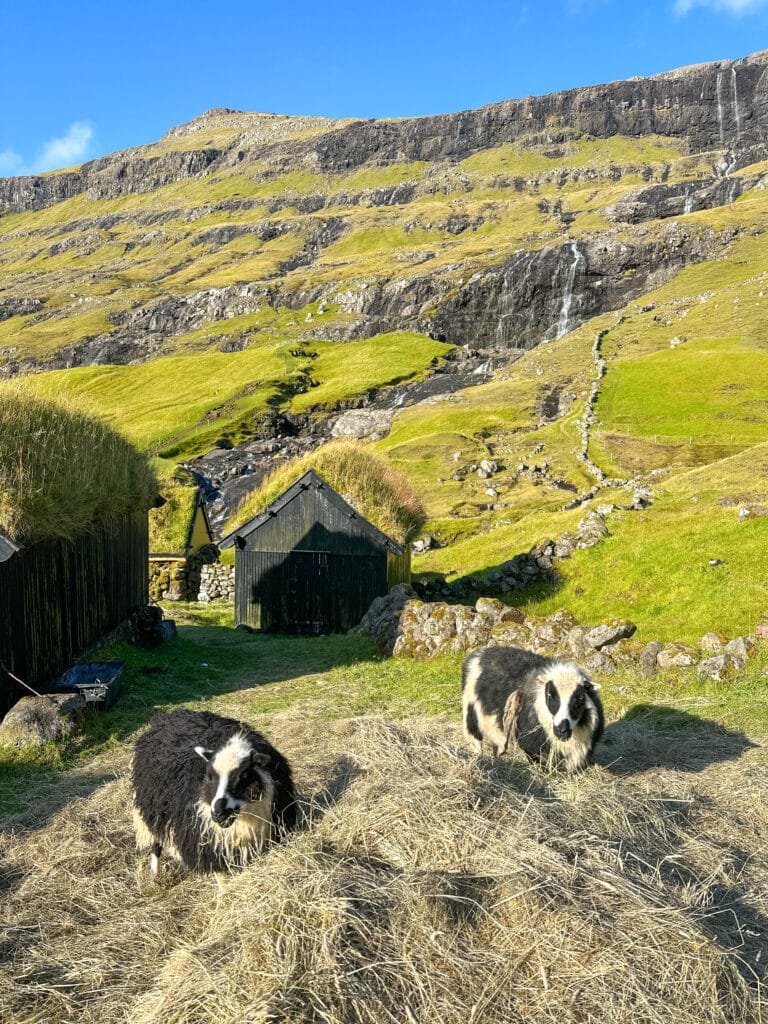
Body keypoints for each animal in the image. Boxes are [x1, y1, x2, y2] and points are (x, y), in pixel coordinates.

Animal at [129, 712, 296, 872]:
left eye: (244, 775)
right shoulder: (206, 843)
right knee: (156, 839)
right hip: (152, 807)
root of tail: (166, 717)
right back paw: (154, 872)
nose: (218, 814)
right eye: (209, 776)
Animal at [460, 643, 606, 770]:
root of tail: (480, 653)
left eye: (580, 698)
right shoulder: (531, 745)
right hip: (470, 713)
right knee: (475, 739)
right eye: (550, 695)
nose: (562, 730)